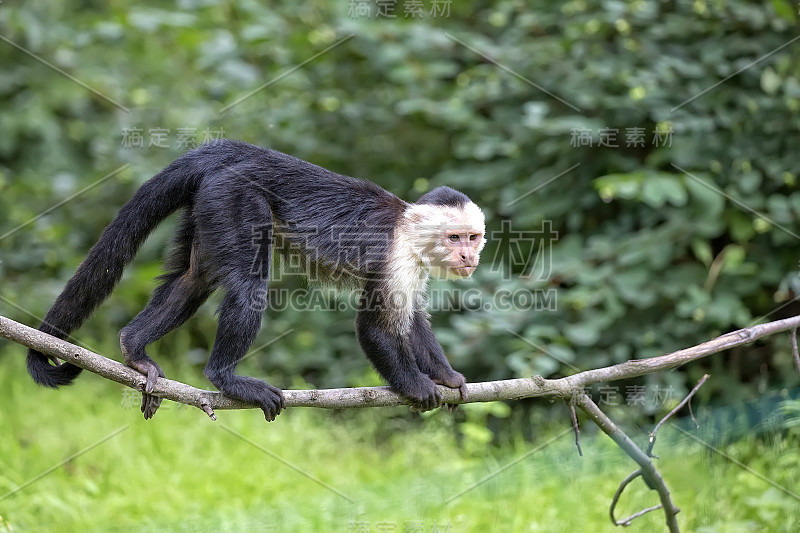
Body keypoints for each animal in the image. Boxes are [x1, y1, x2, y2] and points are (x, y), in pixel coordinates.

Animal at [25, 140, 484, 420]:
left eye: (473, 237)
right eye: (454, 237)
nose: (469, 256)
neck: (409, 232)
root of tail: (234, 154)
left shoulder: (415, 264)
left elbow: (413, 321)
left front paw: (446, 378)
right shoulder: (397, 256)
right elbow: (373, 327)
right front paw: (416, 384)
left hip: (209, 201)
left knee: (194, 279)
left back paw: (134, 349)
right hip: (234, 197)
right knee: (248, 285)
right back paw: (224, 378)